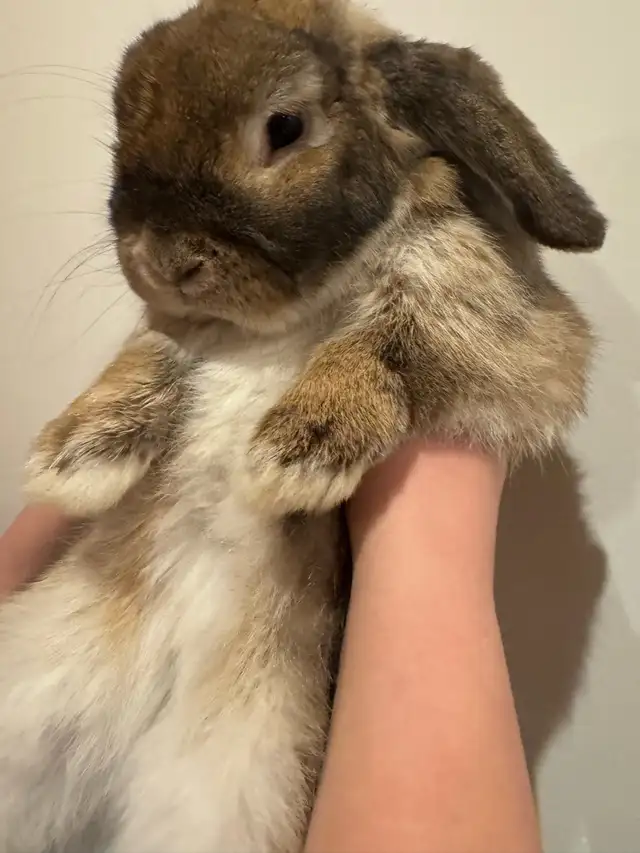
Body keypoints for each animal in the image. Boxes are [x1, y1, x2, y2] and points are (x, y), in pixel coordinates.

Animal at [0, 0, 606, 851]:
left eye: (284, 127)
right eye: (120, 125)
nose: (158, 259)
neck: (282, 319)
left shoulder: (488, 316)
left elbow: (385, 341)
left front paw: (294, 452)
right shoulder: (176, 335)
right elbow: (148, 356)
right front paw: (72, 455)